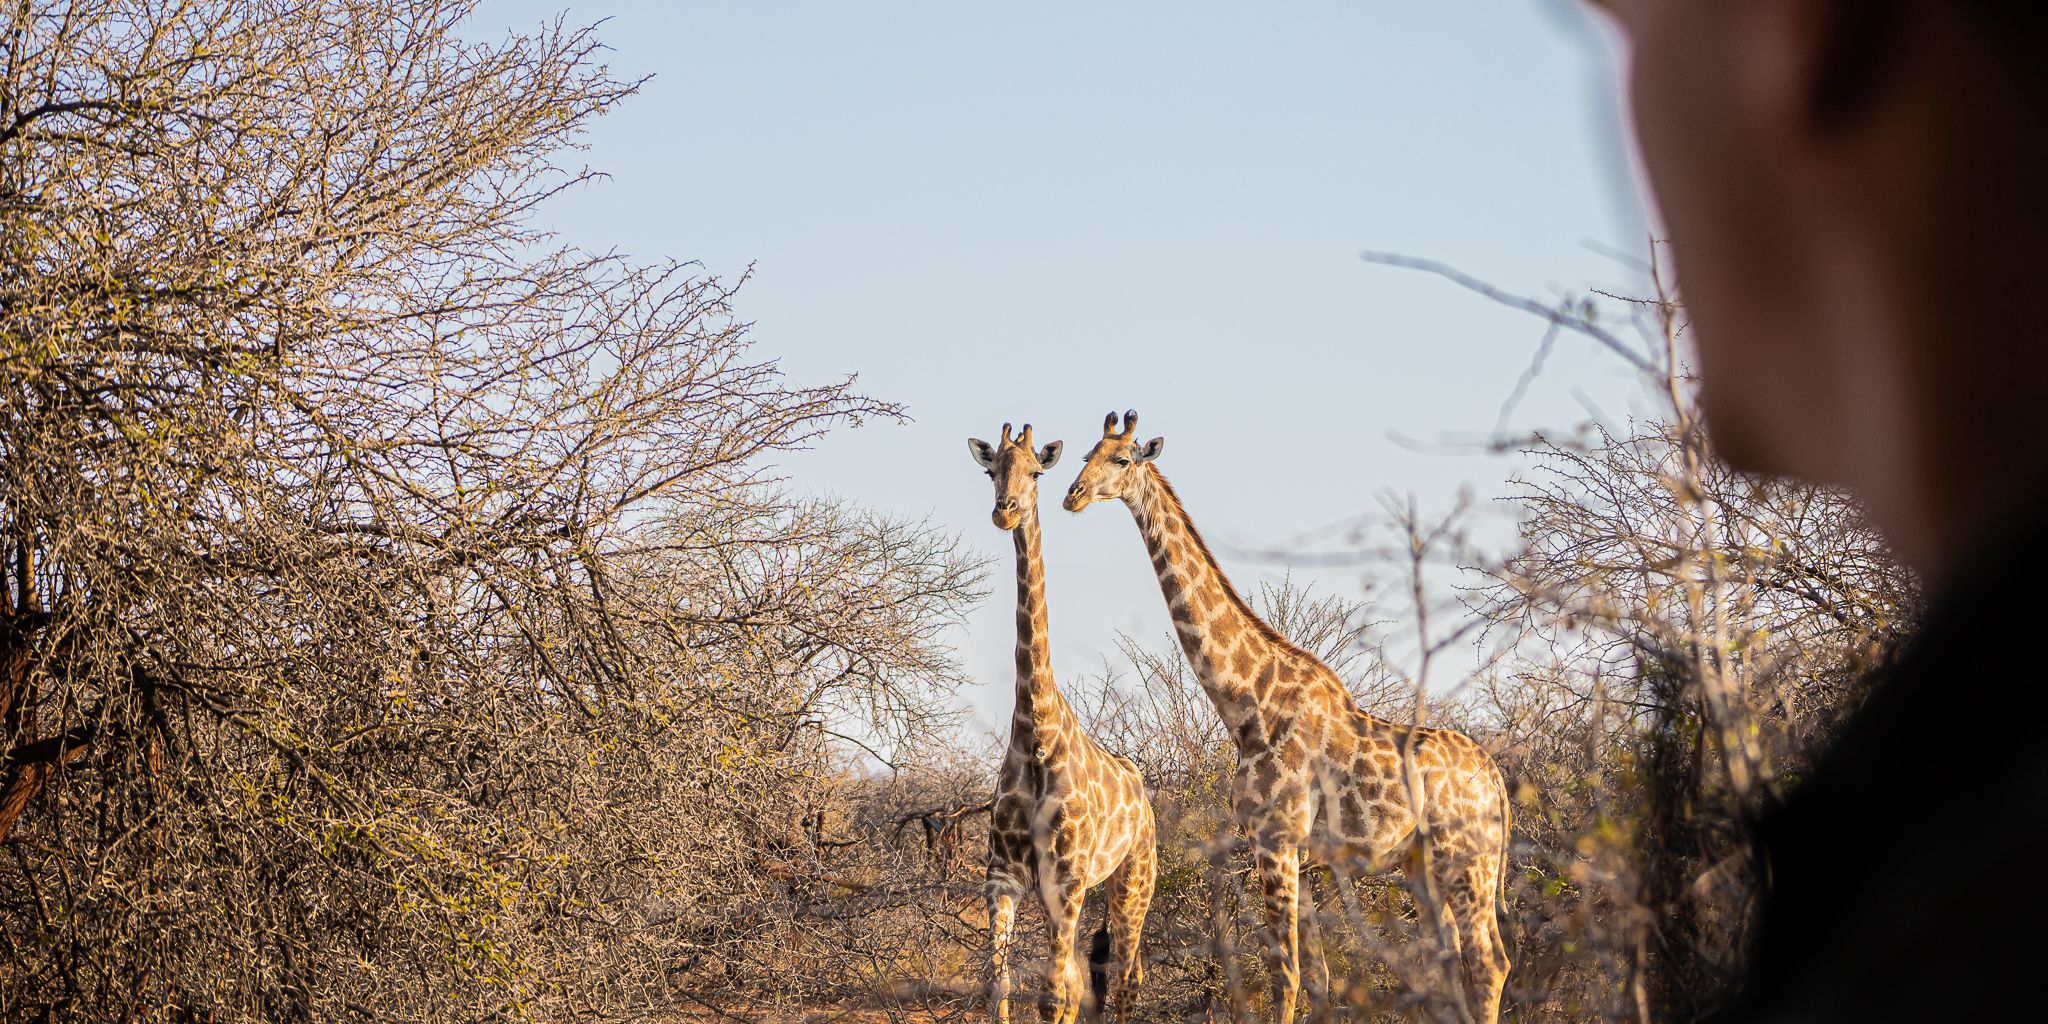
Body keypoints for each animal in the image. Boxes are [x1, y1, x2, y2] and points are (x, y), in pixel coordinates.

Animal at [969, 422, 1159, 1024]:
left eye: (1035, 472)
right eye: (991, 470)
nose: (1004, 512)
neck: (1038, 731)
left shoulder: (1067, 879)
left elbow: (1055, 993)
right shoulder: (1003, 875)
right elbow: (999, 984)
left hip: (1133, 880)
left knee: (1125, 976)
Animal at [1062, 411, 1513, 1023]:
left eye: (1122, 459)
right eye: (1085, 453)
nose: (1072, 494)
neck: (1249, 704)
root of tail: (1497, 782)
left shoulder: (1274, 841)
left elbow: (1285, 975)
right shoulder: (1299, 853)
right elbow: (1316, 979)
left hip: (1466, 858)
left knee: (1489, 964)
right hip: (1423, 864)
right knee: (1452, 966)